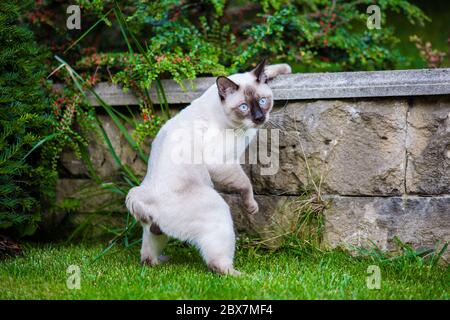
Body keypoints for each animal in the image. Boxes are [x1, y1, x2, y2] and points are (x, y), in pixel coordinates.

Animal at [125, 60, 292, 276]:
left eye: (263, 101)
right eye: (244, 107)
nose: (259, 118)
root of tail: (144, 196)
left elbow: (265, 69)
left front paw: (286, 69)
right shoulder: (221, 163)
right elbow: (246, 184)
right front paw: (252, 207)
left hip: (155, 235)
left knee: (147, 256)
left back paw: (160, 260)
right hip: (219, 210)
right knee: (217, 264)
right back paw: (247, 276)